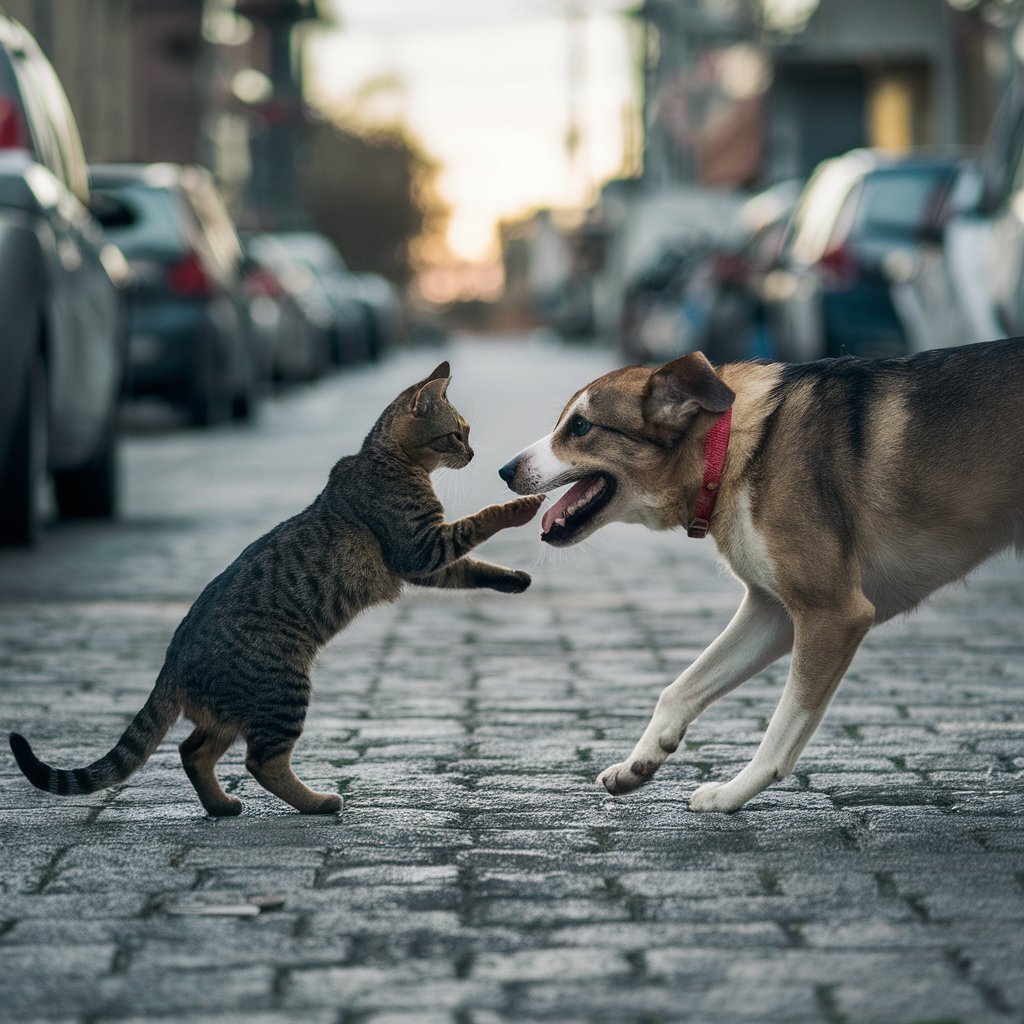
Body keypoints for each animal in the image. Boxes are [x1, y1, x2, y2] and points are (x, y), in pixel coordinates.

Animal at [8, 360, 544, 815]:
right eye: (456, 434)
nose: (472, 452)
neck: (388, 460)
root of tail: (172, 662)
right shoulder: (419, 547)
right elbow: (477, 525)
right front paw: (518, 509)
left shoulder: (427, 563)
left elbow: (474, 568)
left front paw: (515, 579)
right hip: (282, 689)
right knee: (260, 761)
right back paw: (318, 801)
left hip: (235, 710)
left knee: (192, 750)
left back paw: (222, 806)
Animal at [497, 339, 1024, 811]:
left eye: (580, 427)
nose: (504, 470)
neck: (733, 450)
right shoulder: (771, 611)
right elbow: (681, 687)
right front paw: (639, 762)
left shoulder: (834, 613)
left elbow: (785, 725)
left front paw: (731, 794)